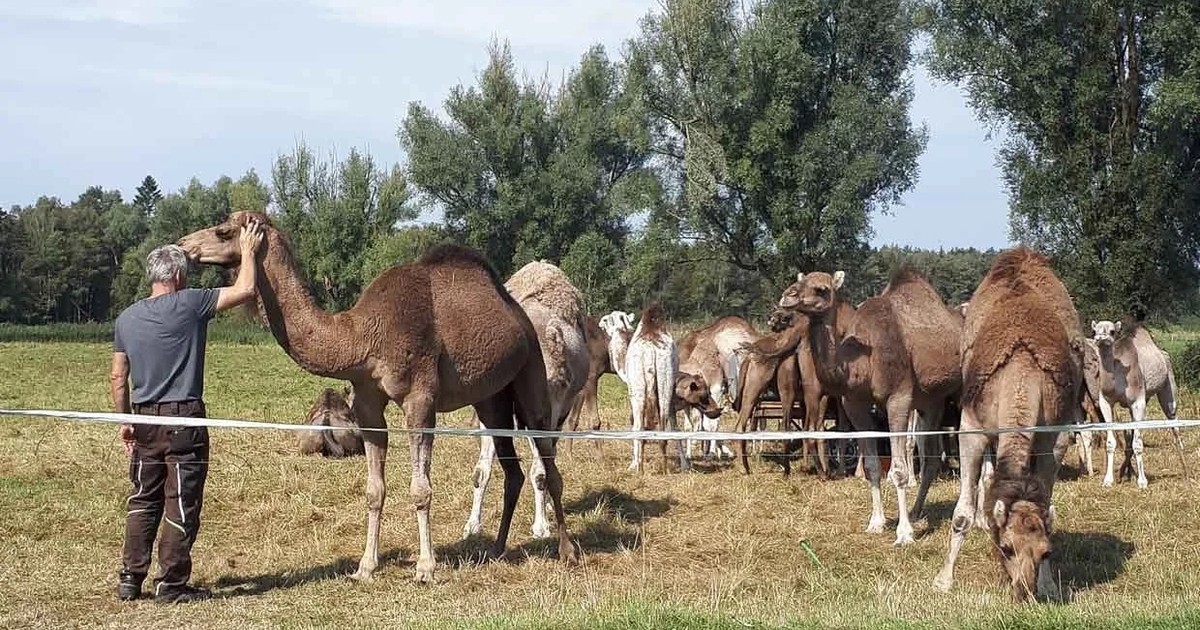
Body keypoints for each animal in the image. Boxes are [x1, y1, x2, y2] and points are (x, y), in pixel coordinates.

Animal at [460, 258, 588, 537]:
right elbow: (481, 470)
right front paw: (472, 525)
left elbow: (540, 471)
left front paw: (541, 526)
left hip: (558, 412)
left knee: (547, 459)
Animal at [777, 265, 964, 544]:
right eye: (800, 281)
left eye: (822, 289)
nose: (787, 296)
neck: (864, 361)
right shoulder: (855, 404)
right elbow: (873, 465)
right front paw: (876, 523)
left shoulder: (899, 398)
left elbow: (898, 470)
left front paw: (904, 533)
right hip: (932, 402)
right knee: (931, 458)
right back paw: (917, 512)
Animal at [931, 244, 1084, 600]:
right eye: (1006, 547)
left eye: (1046, 551)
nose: (1023, 591)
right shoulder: (970, 427)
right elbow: (961, 513)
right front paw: (943, 580)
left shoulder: (1055, 436)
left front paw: (1048, 585)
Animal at [1089, 319, 1190, 487]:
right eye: (1095, 330)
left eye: (1112, 331)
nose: (1100, 338)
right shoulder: (1106, 402)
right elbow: (1111, 442)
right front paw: (1108, 480)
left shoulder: (1138, 402)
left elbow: (1138, 443)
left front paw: (1142, 481)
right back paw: (1124, 471)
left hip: (1168, 385)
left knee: (1173, 419)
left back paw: (1183, 459)